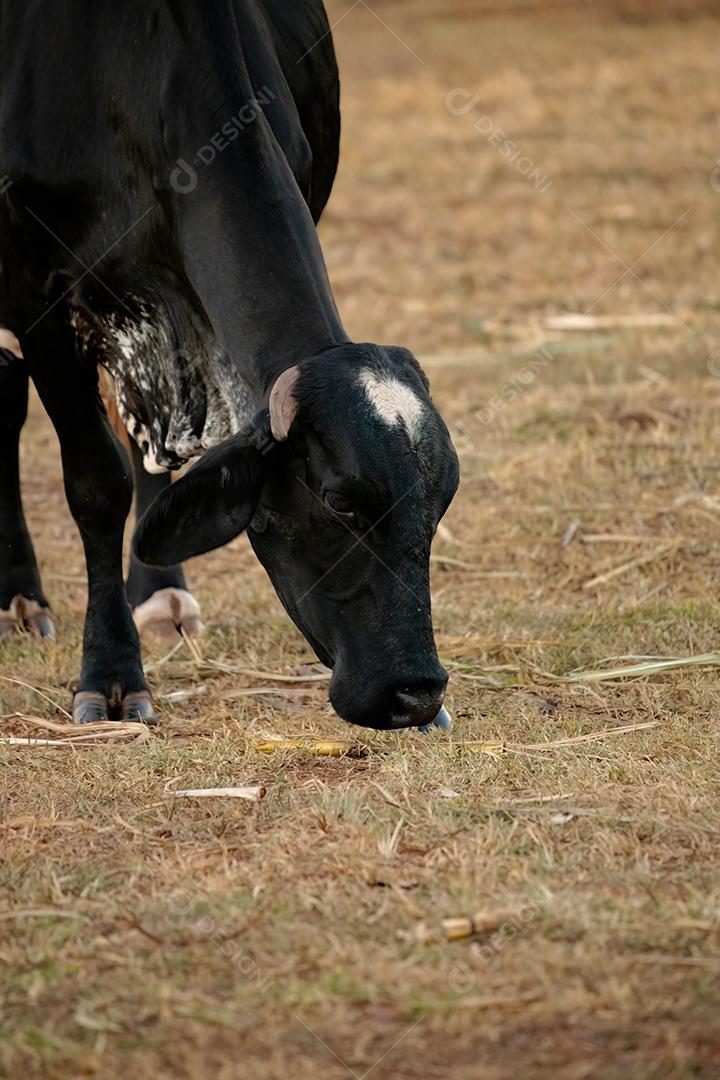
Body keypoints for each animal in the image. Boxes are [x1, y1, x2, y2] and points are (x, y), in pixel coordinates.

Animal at [0, 0, 462, 730]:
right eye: (339, 502)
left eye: (442, 500)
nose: (416, 692)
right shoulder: (36, 293)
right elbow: (96, 482)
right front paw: (110, 673)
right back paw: (20, 596)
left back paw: (157, 596)